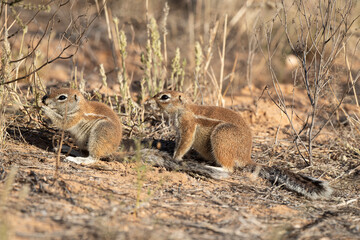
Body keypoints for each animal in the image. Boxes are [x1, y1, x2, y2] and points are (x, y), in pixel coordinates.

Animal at [152, 90, 332, 199]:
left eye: (164, 96)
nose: (150, 100)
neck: (183, 108)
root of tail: (246, 158)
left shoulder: (187, 126)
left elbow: (184, 143)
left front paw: (175, 158)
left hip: (221, 136)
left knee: (229, 168)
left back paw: (212, 167)